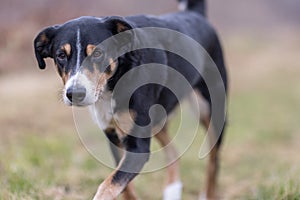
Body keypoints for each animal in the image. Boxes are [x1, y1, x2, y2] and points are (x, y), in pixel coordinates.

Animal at [33, 0, 227, 199]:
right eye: (61, 55)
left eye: (98, 53)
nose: (75, 94)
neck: (115, 81)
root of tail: (195, 13)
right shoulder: (114, 136)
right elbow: (124, 186)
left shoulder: (137, 147)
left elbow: (108, 185)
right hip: (157, 119)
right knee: (174, 153)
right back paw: (172, 190)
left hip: (210, 109)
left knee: (214, 160)